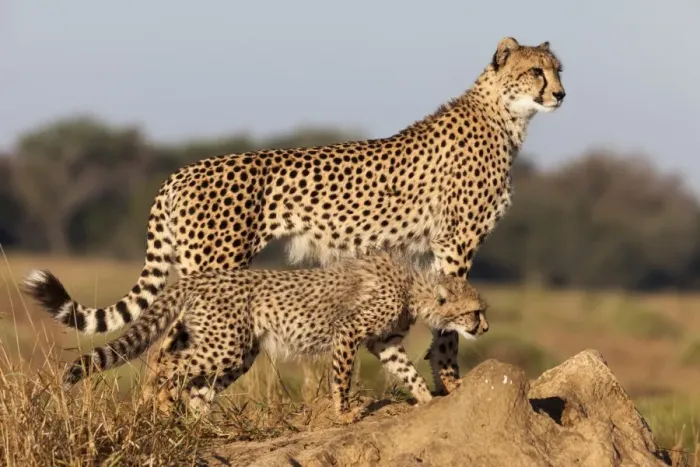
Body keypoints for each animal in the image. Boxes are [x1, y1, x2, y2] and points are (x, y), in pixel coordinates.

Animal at [21, 36, 564, 396]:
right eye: (537, 72)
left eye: (560, 69)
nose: (560, 94)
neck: (506, 114)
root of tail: (181, 171)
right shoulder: (456, 240)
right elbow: (448, 322)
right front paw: (451, 383)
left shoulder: (437, 246)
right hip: (216, 269)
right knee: (165, 352)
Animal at [54, 250, 489, 422]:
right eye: (476, 311)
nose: (484, 328)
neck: (415, 288)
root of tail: (201, 277)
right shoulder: (348, 333)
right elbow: (342, 377)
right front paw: (344, 412)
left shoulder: (384, 342)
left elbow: (407, 370)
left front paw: (426, 398)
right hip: (224, 346)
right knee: (170, 364)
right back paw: (162, 403)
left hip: (238, 353)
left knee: (197, 387)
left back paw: (203, 424)